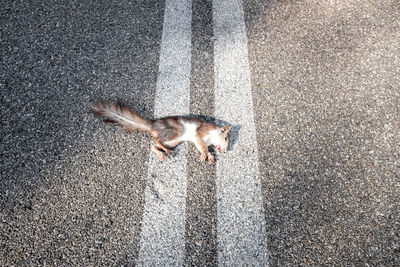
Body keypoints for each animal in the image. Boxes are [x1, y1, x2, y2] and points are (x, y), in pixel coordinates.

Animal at [89, 101, 230, 163]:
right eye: (226, 138)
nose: (225, 150)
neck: (212, 135)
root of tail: (152, 125)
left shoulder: (202, 141)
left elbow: (204, 147)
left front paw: (210, 156)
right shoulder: (200, 134)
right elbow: (202, 146)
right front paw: (205, 156)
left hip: (174, 141)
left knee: (153, 145)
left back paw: (161, 153)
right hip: (175, 129)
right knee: (156, 140)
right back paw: (165, 151)